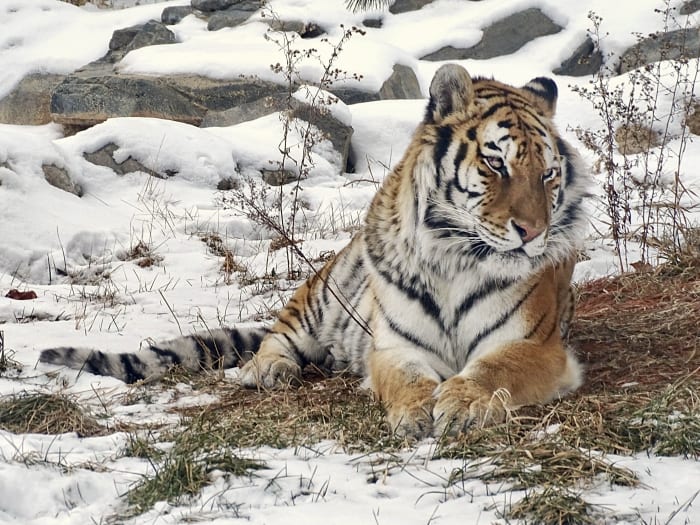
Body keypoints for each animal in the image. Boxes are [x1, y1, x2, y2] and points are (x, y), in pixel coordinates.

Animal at [41, 64, 592, 438]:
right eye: (497, 164)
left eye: (548, 174)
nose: (533, 232)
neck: (454, 256)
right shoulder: (396, 346)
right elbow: (406, 380)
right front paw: (415, 412)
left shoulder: (536, 344)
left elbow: (492, 369)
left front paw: (462, 405)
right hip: (321, 291)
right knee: (275, 337)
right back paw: (269, 370)